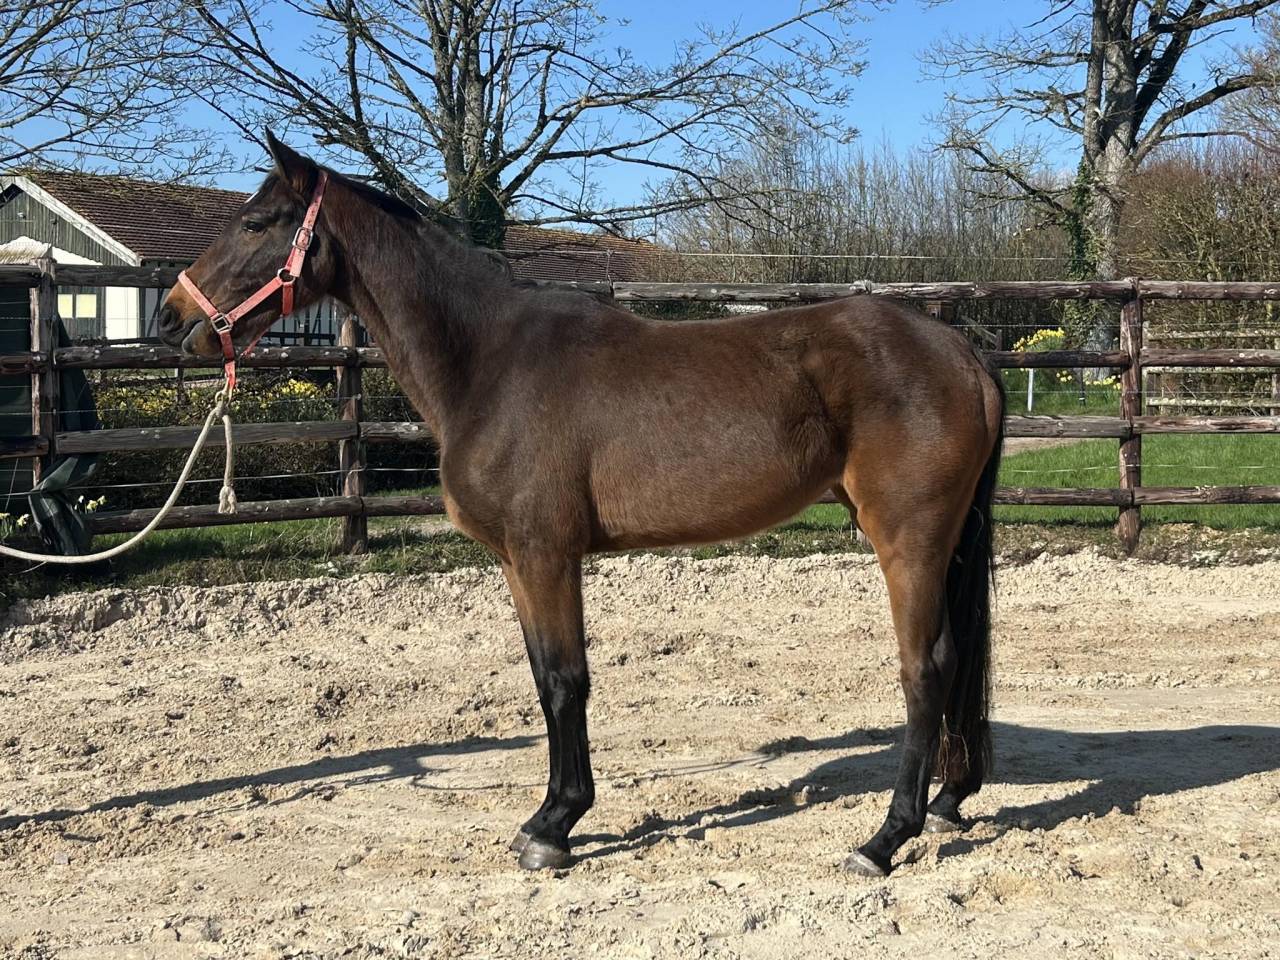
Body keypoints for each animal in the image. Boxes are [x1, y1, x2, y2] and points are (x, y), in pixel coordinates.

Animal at [158, 132, 1006, 878]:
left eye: (257, 222)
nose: (172, 317)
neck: (490, 363)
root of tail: (959, 352)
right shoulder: (516, 564)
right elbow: (544, 679)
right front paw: (548, 816)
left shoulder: (545, 555)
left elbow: (567, 681)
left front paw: (556, 827)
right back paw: (946, 802)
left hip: (909, 541)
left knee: (925, 669)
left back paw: (884, 839)